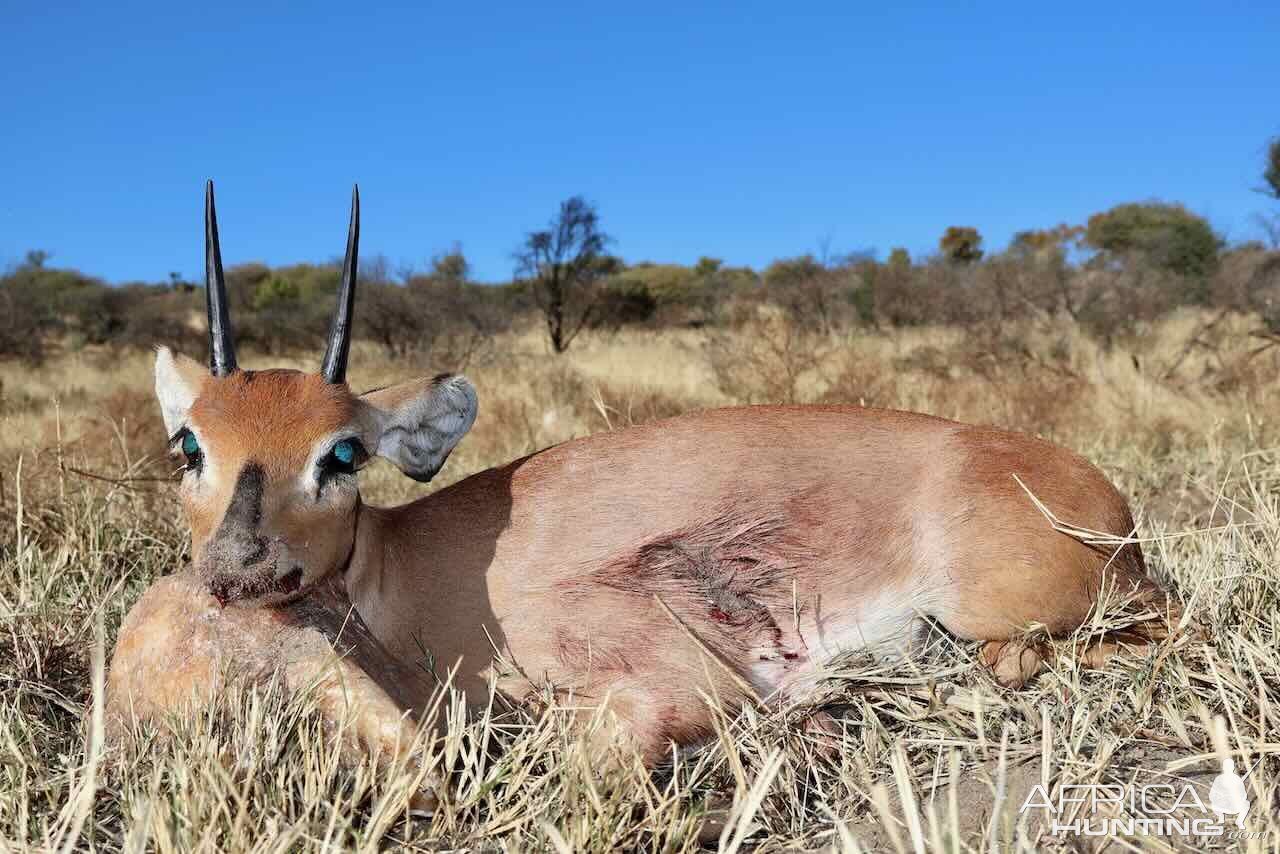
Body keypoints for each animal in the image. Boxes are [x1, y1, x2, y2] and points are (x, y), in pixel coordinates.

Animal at [110, 181, 1177, 793]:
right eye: (189, 444)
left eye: (339, 453)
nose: (240, 570)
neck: (399, 572)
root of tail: (1106, 508)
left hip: (1017, 615)